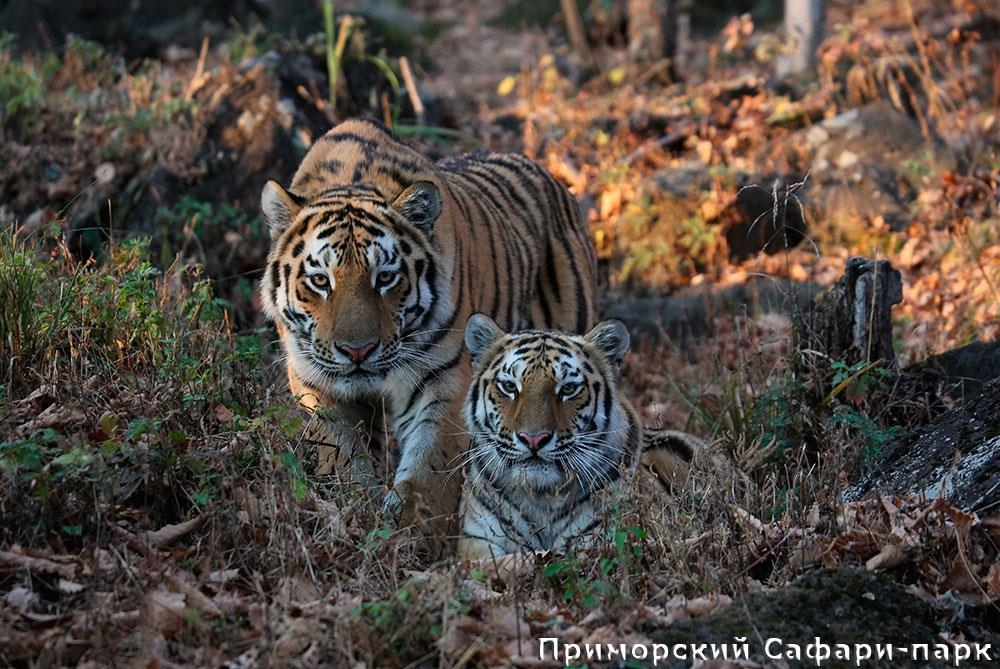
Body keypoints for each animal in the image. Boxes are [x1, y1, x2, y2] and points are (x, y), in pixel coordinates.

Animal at [258, 120, 596, 548]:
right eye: (320, 281)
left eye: (385, 278)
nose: (357, 351)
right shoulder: (316, 383)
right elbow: (339, 456)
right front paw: (355, 512)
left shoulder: (445, 379)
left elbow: (429, 470)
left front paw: (410, 537)